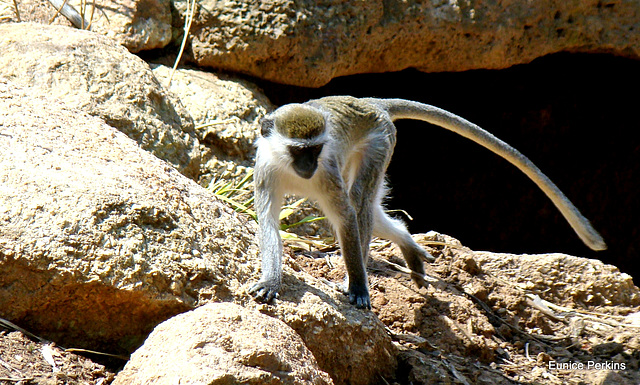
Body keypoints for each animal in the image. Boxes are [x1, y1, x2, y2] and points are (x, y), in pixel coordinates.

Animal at [248, 97, 608, 308]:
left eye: (316, 150)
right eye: (299, 150)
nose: (309, 166)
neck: (290, 166)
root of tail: (370, 102)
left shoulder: (328, 170)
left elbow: (347, 216)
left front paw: (359, 287)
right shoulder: (265, 168)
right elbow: (268, 223)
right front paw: (270, 281)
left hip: (380, 141)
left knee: (360, 200)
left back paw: (363, 271)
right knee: (373, 210)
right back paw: (409, 248)